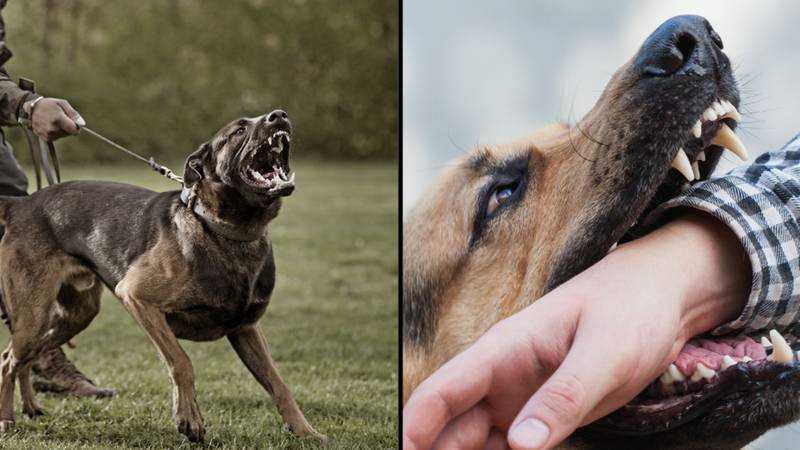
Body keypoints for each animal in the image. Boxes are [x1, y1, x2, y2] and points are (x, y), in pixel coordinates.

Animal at [0, 110, 322, 442]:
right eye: (238, 130)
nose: (279, 115)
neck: (224, 230)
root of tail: (20, 205)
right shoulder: (138, 298)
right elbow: (181, 362)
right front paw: (189, 418)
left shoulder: (246, 329)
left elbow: (278, 382)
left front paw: (305, 431)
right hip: (34, 315)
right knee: (8, 360)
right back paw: (6, 418)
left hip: (72, 316)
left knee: (21, 357)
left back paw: (31, 406)